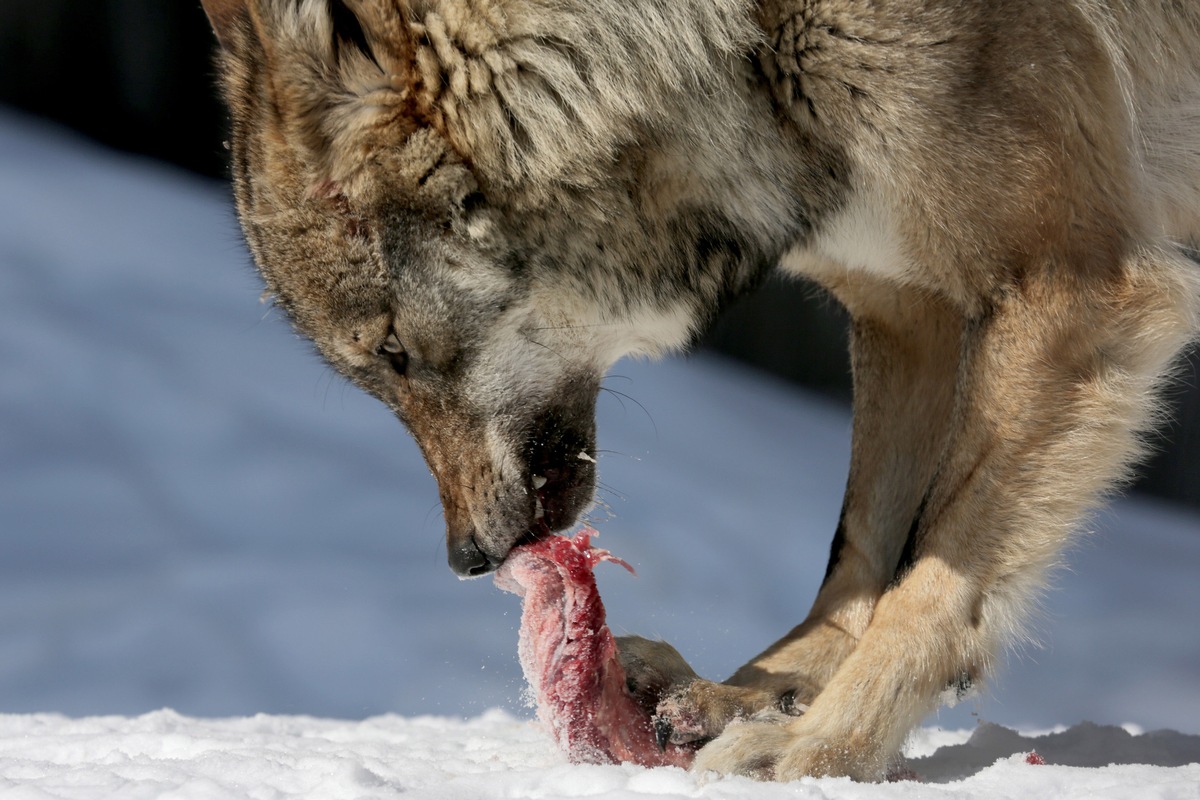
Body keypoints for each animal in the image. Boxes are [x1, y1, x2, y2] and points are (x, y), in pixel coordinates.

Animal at [201, 0, 1200, 782]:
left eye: (394, 354)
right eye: (375, 373)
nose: (468, 560)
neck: (738, 42)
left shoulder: (1067, 295)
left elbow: (934, 570)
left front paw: (821, 746)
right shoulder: (906, 308)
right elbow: (863, 551)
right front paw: (759, 693)